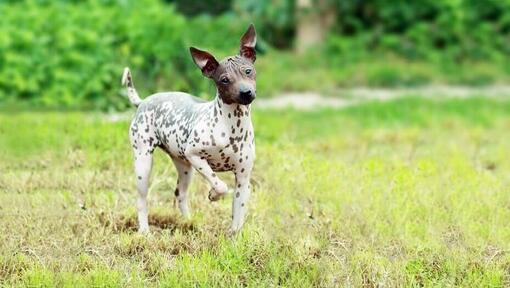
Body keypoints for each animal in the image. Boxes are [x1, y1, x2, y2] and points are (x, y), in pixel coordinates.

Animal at [122, 24, 258, 234]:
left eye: (248, 71)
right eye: (224, 80)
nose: (246, 93)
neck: (232, 127)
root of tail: (143, 101)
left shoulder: (243, 180)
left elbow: (237, 217)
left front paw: (233, 237)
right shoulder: (195, 156)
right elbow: (220, 185)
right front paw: (213, 194)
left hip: (185, 169)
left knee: (180, 194)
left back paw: (190, 222)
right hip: (143, 164)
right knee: (142, 200)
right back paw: (145, 231)